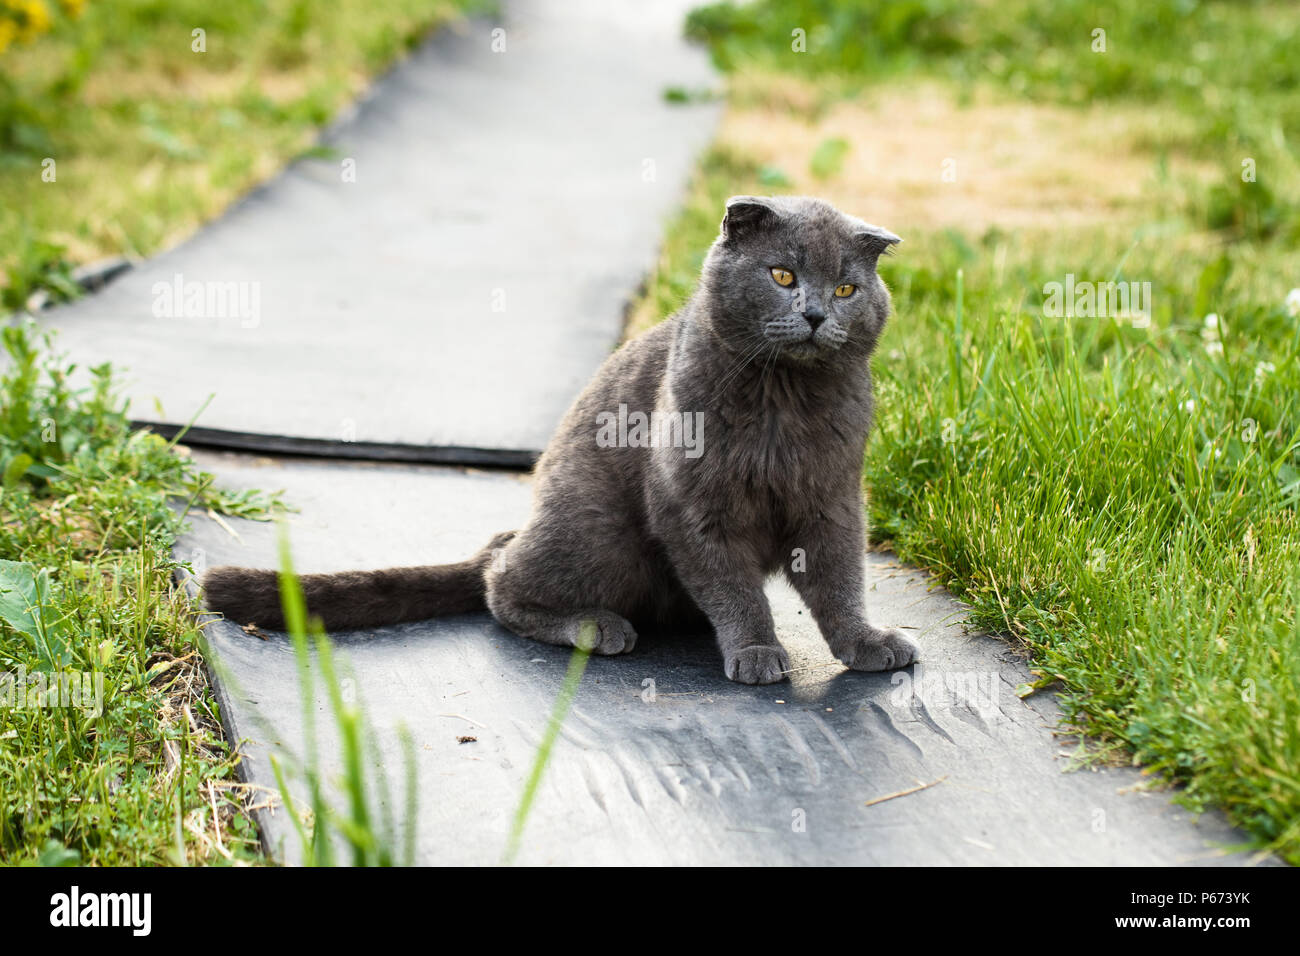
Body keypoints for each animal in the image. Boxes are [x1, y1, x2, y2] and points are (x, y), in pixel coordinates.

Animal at [197, 196, 920, 686]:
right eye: (781, 276)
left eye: (847, 286)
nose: (816, 313)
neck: (784, 403)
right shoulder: (691, 502)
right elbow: (736, 587)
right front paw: (756, 651)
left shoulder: (832, 499)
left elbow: (839, 581)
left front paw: (867, 643)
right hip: (601, 534)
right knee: (499, 583)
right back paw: (597, 627)